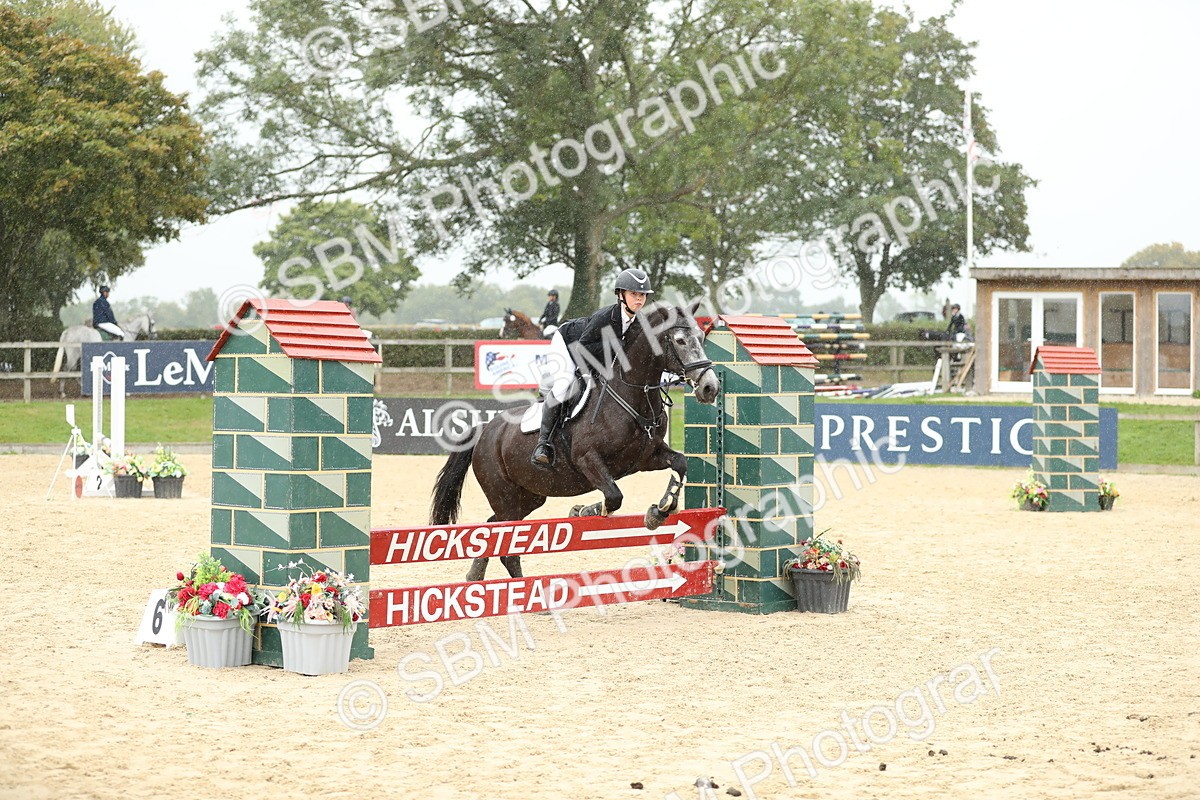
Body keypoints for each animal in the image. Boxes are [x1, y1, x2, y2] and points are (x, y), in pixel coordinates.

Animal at [431, 301, 721, 582]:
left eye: (701, 337)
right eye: (680, 340)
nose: (711, 388)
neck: (631, 396)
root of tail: (484, 430)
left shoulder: (645, 458)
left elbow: (680, 463)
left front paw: (660, 511)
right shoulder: (587, 459)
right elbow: (614, 497)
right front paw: (582, 511)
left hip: (529, 497)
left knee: (494, 528)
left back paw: (476, 575)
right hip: (505, 495)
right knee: (506, 543)